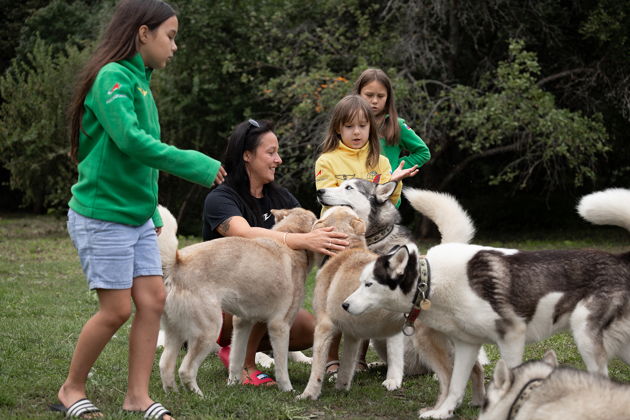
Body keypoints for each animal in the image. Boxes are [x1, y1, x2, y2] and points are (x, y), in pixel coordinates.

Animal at [156, 206, 318, 394]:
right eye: (316, 219)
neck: (291, 244)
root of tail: (177, 263)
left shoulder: (242, 323)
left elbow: (236, 359)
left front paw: (233, 383)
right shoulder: (280, 326)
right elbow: (282, 368)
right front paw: (288, 390)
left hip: (176, 332)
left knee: (165, 365)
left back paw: (174, 394)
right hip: (208, 332)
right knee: (185, 370)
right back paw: (198, 395)